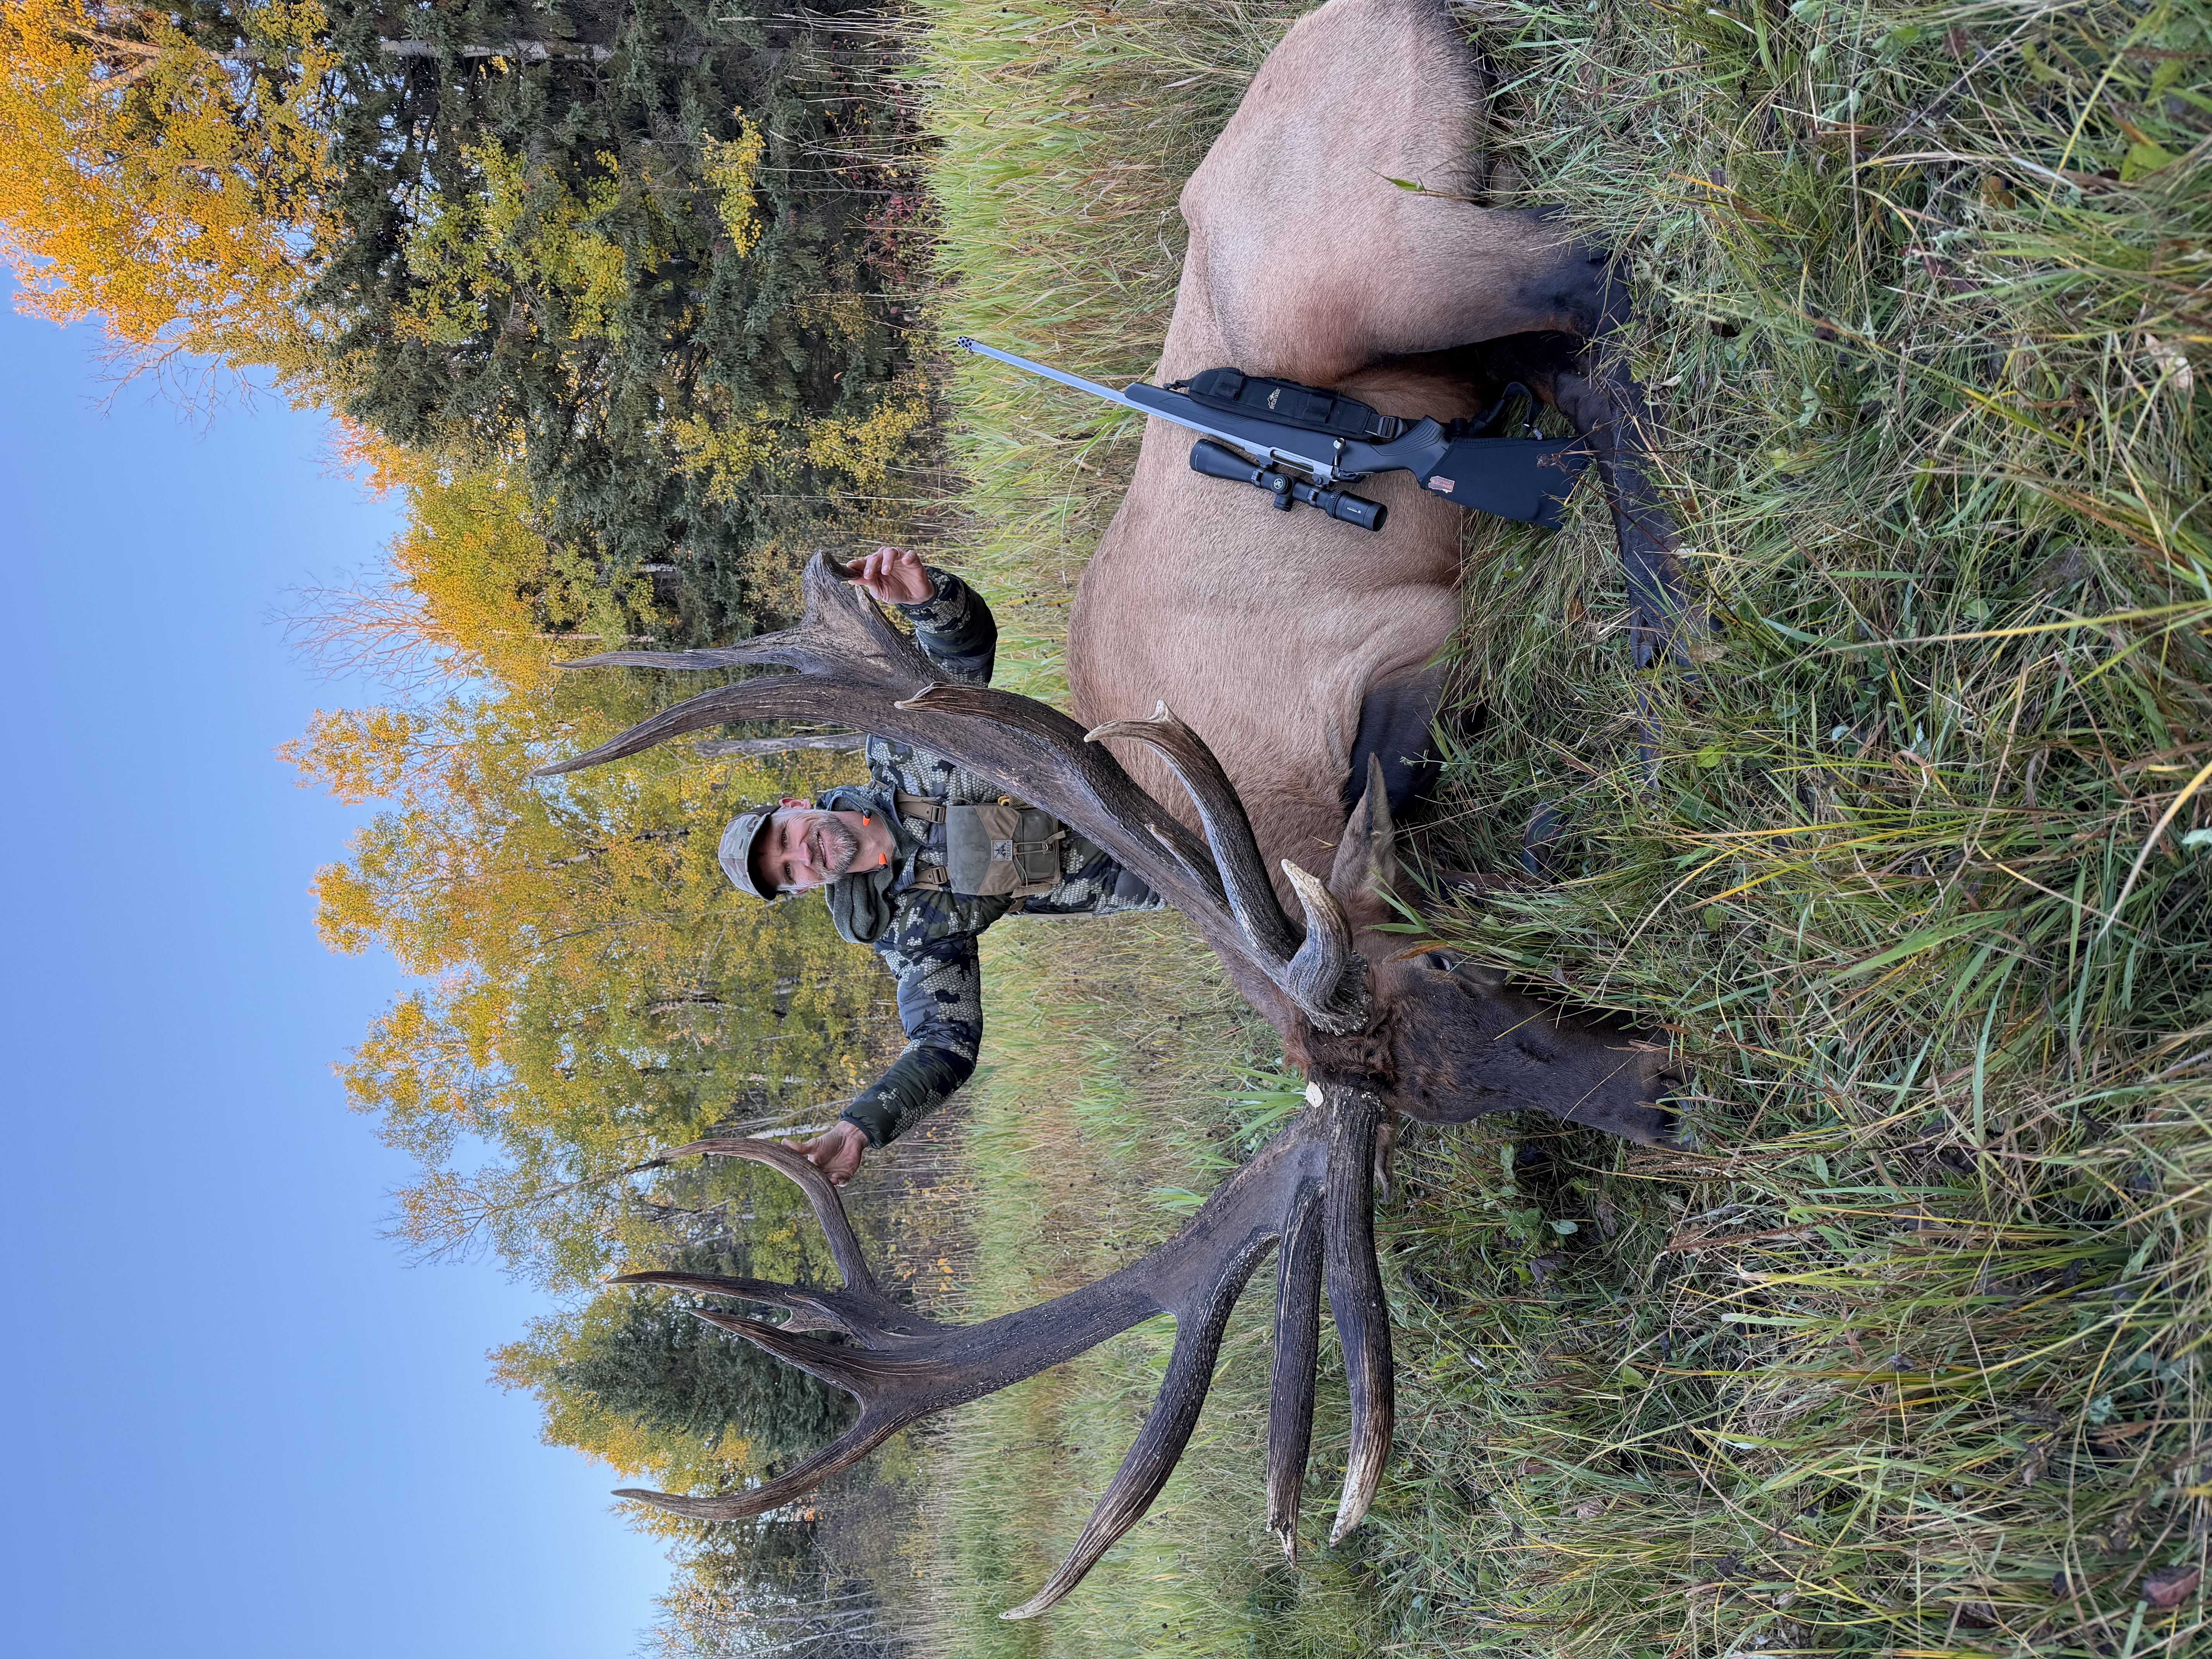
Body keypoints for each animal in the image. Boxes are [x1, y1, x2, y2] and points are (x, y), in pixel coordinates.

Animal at [530, 0, 1689, 1618]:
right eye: (1440, 1097)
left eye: (1460, 973)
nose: (1659, 1087)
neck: (1264, 813)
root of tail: (1363, 18)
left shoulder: (1385, 663)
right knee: (1577, 329)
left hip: (1360, 267)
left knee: (1597, 274)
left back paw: (1665, 596)